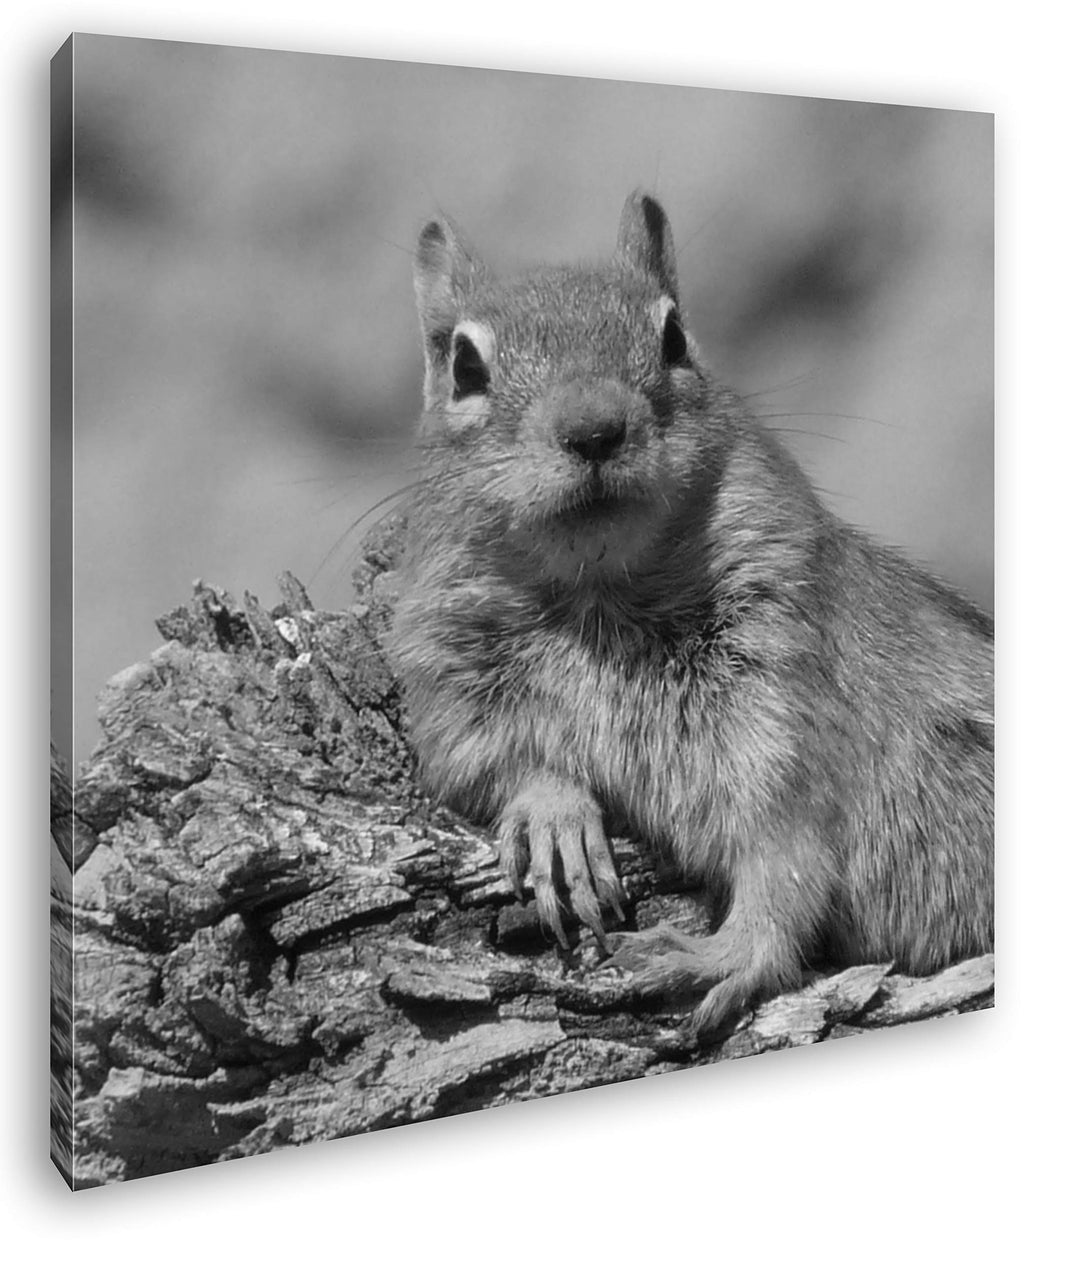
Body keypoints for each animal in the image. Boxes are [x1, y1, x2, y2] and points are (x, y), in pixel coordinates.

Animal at [390, 191, 994, 1036]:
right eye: (463, 365)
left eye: (674, 337)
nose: (594, 428)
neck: (599, 594)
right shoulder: (449, 685)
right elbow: (487, 765)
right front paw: (554, 815)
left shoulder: (784, 701)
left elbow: (787, 856)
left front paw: (722, 953)